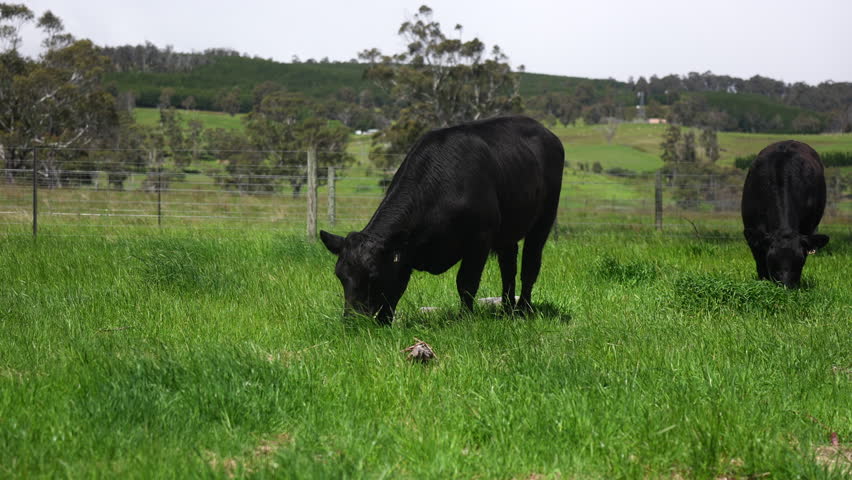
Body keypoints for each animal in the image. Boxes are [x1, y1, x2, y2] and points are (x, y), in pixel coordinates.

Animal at [320, 115, 565, 324]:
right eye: (340, 275)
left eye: (372, 275)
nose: (353, 321)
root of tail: (546, 132)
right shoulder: (406, 254)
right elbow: (398, 286)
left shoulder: (480, 239)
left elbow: (466, 282)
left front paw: (464, 318)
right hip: (507, 230)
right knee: (509, 266)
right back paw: (506, 309)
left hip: (544, 219)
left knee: (530, 264)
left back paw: (523, 308)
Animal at [741, 140, 829, 288]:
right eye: (771, 261)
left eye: (800, 262)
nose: (786, 287)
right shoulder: (753, 233)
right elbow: (760, 263)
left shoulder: (807, 230)